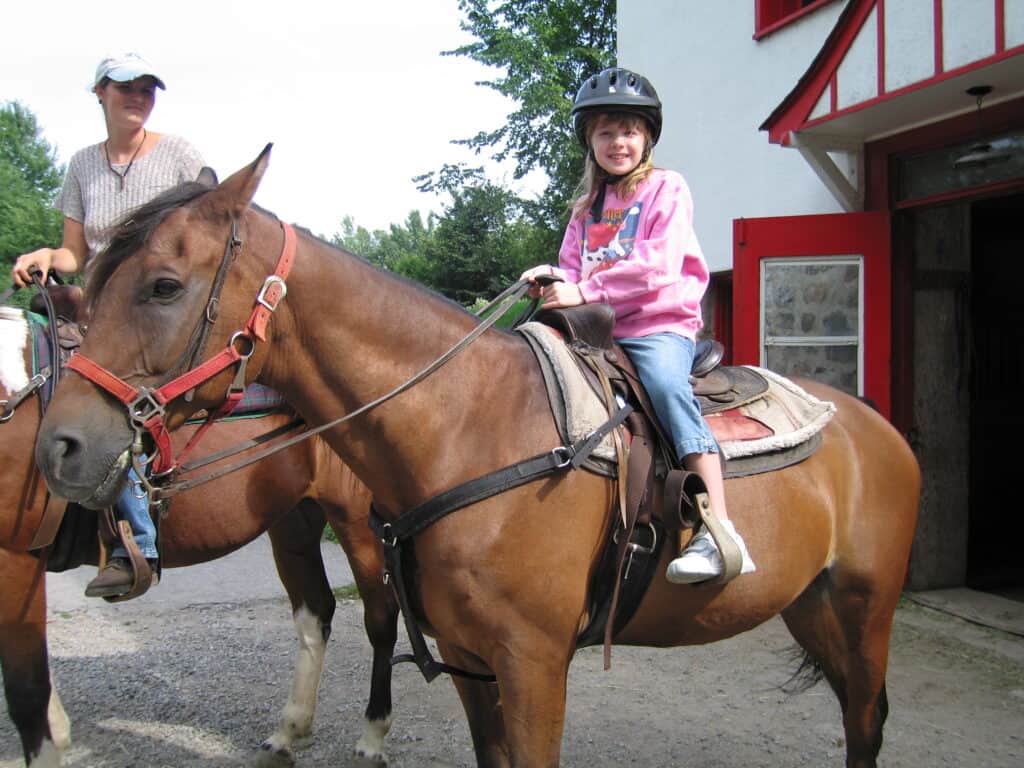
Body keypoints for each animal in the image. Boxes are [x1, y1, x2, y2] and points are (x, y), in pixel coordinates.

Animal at [0, 305, 399, 765]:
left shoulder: (15, 558)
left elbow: (27, 690)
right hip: (294, 520)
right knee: (315, 613)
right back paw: (287, 732)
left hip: (355, 522)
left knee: (381, 619)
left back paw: (372, 737)